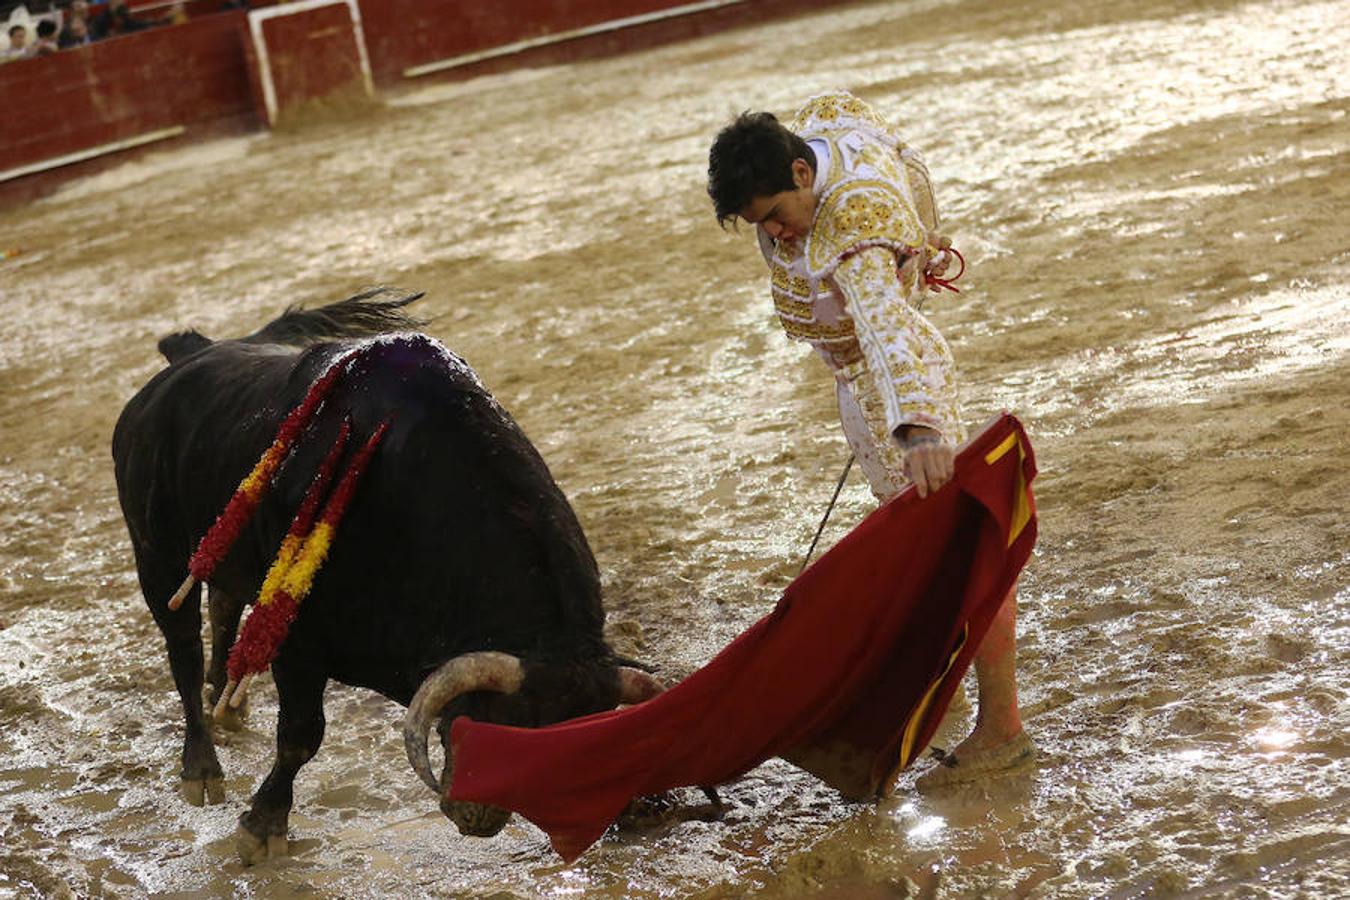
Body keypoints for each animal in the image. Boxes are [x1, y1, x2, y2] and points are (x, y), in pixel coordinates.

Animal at [113, 292, 661, 863]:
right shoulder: (300, 643)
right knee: (183, 653)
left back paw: (229, 702)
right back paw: (201, 767)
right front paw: (262, 826)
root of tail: (186, 360)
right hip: (156, 559)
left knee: (223, 606)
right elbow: (301, 736)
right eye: (510, 730)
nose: (479, 816)